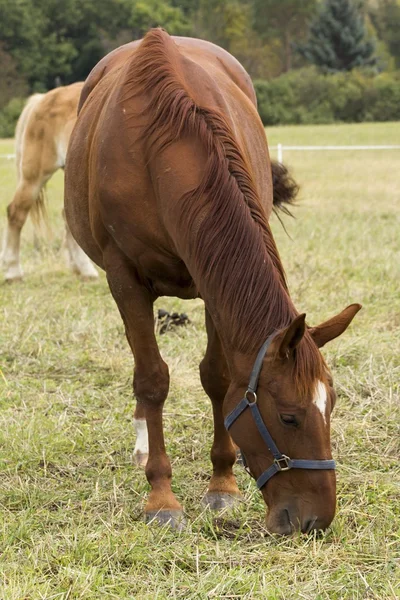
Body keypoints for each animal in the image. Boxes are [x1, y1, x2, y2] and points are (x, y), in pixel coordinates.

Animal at [65, 28, 360, 536]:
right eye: (289, 417)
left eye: (333, 404)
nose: (316, 521)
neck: (158, 151)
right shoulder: (125, 279)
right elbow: (152, 380)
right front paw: (161, 496)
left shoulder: (212, 285)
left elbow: (219, 379)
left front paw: (222, 483)